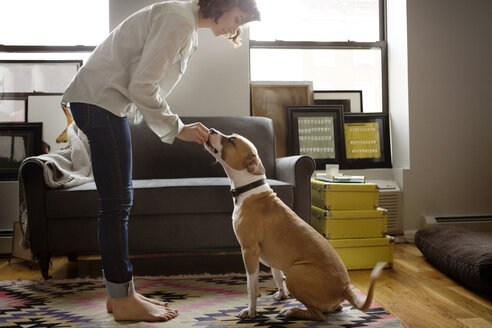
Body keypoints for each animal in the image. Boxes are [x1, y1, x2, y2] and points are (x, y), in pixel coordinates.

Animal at [204, 128, 384, 320]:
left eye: (231, 140)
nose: (211, 130)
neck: (249, 187)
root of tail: (344, 288)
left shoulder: (249, 251)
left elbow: (252, 287)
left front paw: (251, 312)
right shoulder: (272, 256)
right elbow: (276, 275)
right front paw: (282, 295)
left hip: (295, 274)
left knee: (317, 314)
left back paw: (292, 311)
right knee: (333, 308)